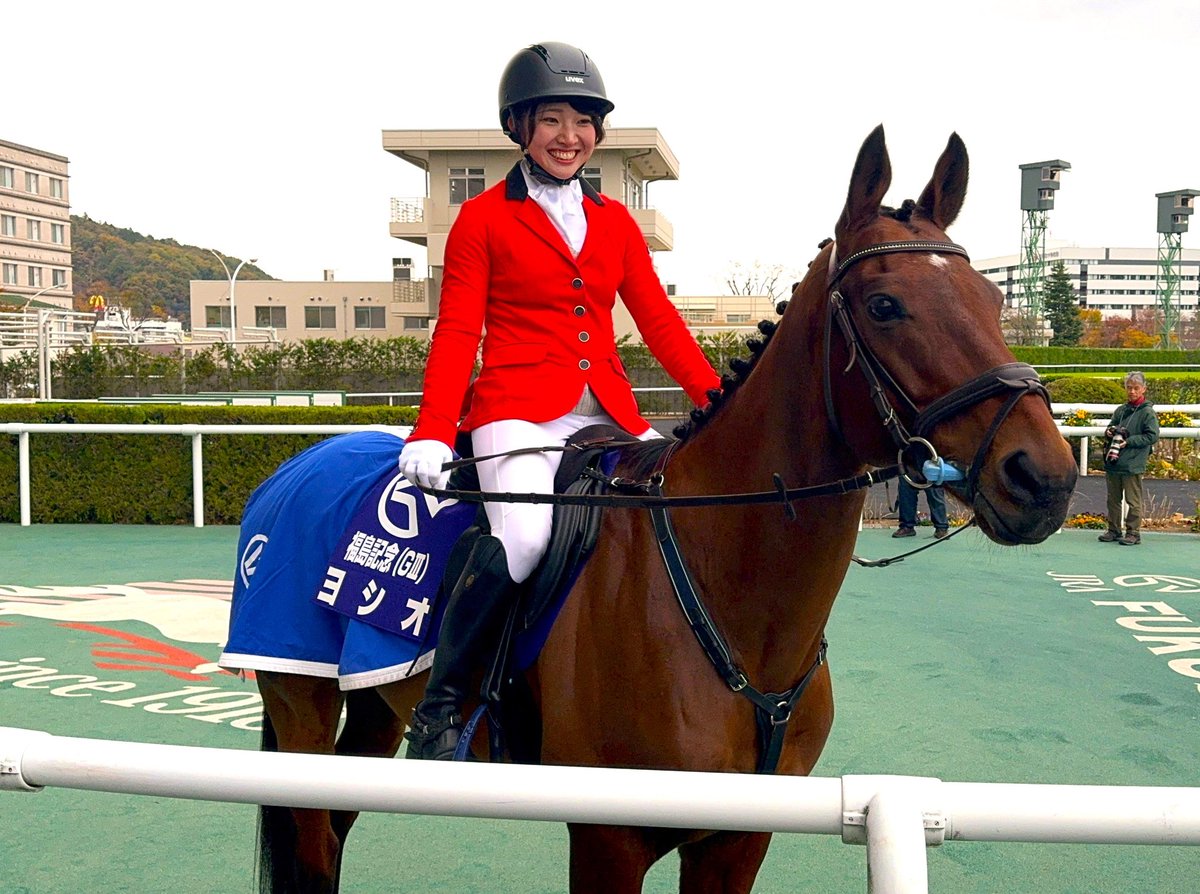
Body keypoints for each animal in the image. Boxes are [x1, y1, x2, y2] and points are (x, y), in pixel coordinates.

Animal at [236, 125, 1079, 893]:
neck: (728, 603)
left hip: (376, 707)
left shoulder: (737, 841)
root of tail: (293, 468)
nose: (1044, 477)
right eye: (884, 304)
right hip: (301, 704)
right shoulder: (608, 839)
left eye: (994, 298)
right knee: (314, 843)